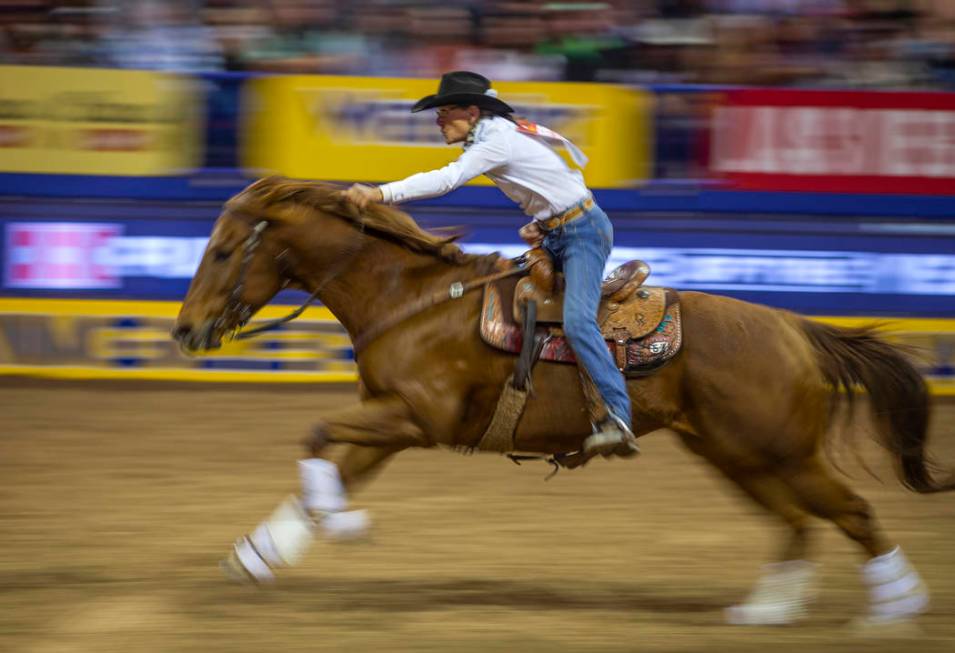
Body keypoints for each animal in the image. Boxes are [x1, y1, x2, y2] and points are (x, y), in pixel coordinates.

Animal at [176, 176, 952, 624]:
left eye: (223, 252)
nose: (185, 330)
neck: (412, 301)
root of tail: (793, 326)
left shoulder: (415, 418)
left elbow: (313, 435)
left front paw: (342, 527)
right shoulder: (388, 423)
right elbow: (331, 467)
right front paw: (260, 554)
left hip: (779, 448)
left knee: (850, 510)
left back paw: (896, 604)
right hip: (735, 453)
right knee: (795, 519)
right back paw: (768, 608)